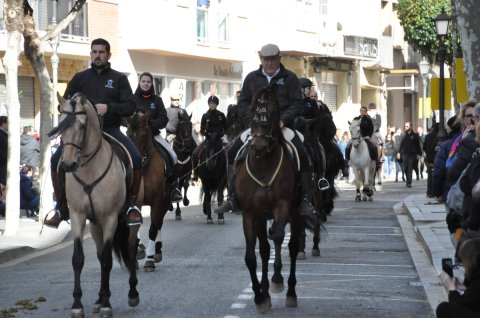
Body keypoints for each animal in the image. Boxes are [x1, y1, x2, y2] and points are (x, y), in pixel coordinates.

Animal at [47, 93, 139, 316]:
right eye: (60, 125)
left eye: (82, 126)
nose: (67, 164)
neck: (89, 168)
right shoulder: (78, 216)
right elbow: (79, 259)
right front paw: (78, 304)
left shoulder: (110, 218)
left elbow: (107, 259)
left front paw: (107, 304)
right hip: (95, 223)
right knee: (98, 254)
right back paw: (99, 298)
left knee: (131, 248)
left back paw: (132, 293)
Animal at [127, 111, 171, 270]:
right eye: (127, 134)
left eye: (144, 134)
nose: (135, 161)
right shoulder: (134, 201)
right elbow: (135, 226)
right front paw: (137, 253)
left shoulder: (157, 202)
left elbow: (152, 229)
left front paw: (149, 260)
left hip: (166, 201)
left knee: (158, 223)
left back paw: (157, 252)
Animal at [234, 84, 302, 314]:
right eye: (252, 111)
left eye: (272, 113)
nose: (259, 146)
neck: (263, 164)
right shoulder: (250, 213)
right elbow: (251, 256)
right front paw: (258, 297)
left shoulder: (283, 205)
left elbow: (279, 236)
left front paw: (277, 279)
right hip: (261, 217)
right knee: (264, 249)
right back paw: (264, 291)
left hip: (296, 212)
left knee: (292, 247)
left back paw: (290, 292)